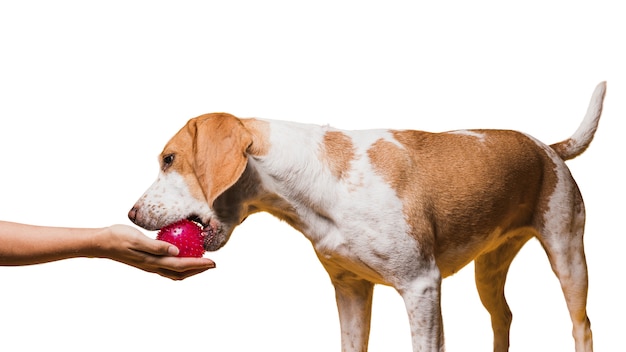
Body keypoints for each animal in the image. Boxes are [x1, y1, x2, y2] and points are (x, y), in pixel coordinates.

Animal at [128, 82, 604, 352]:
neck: (322, 182)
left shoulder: (422, 288)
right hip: (488, 271)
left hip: (568, 257)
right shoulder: (351, 291)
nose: (131, 213)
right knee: (502, 316)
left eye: (169, 159)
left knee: (582, 326)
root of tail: (548, 147)